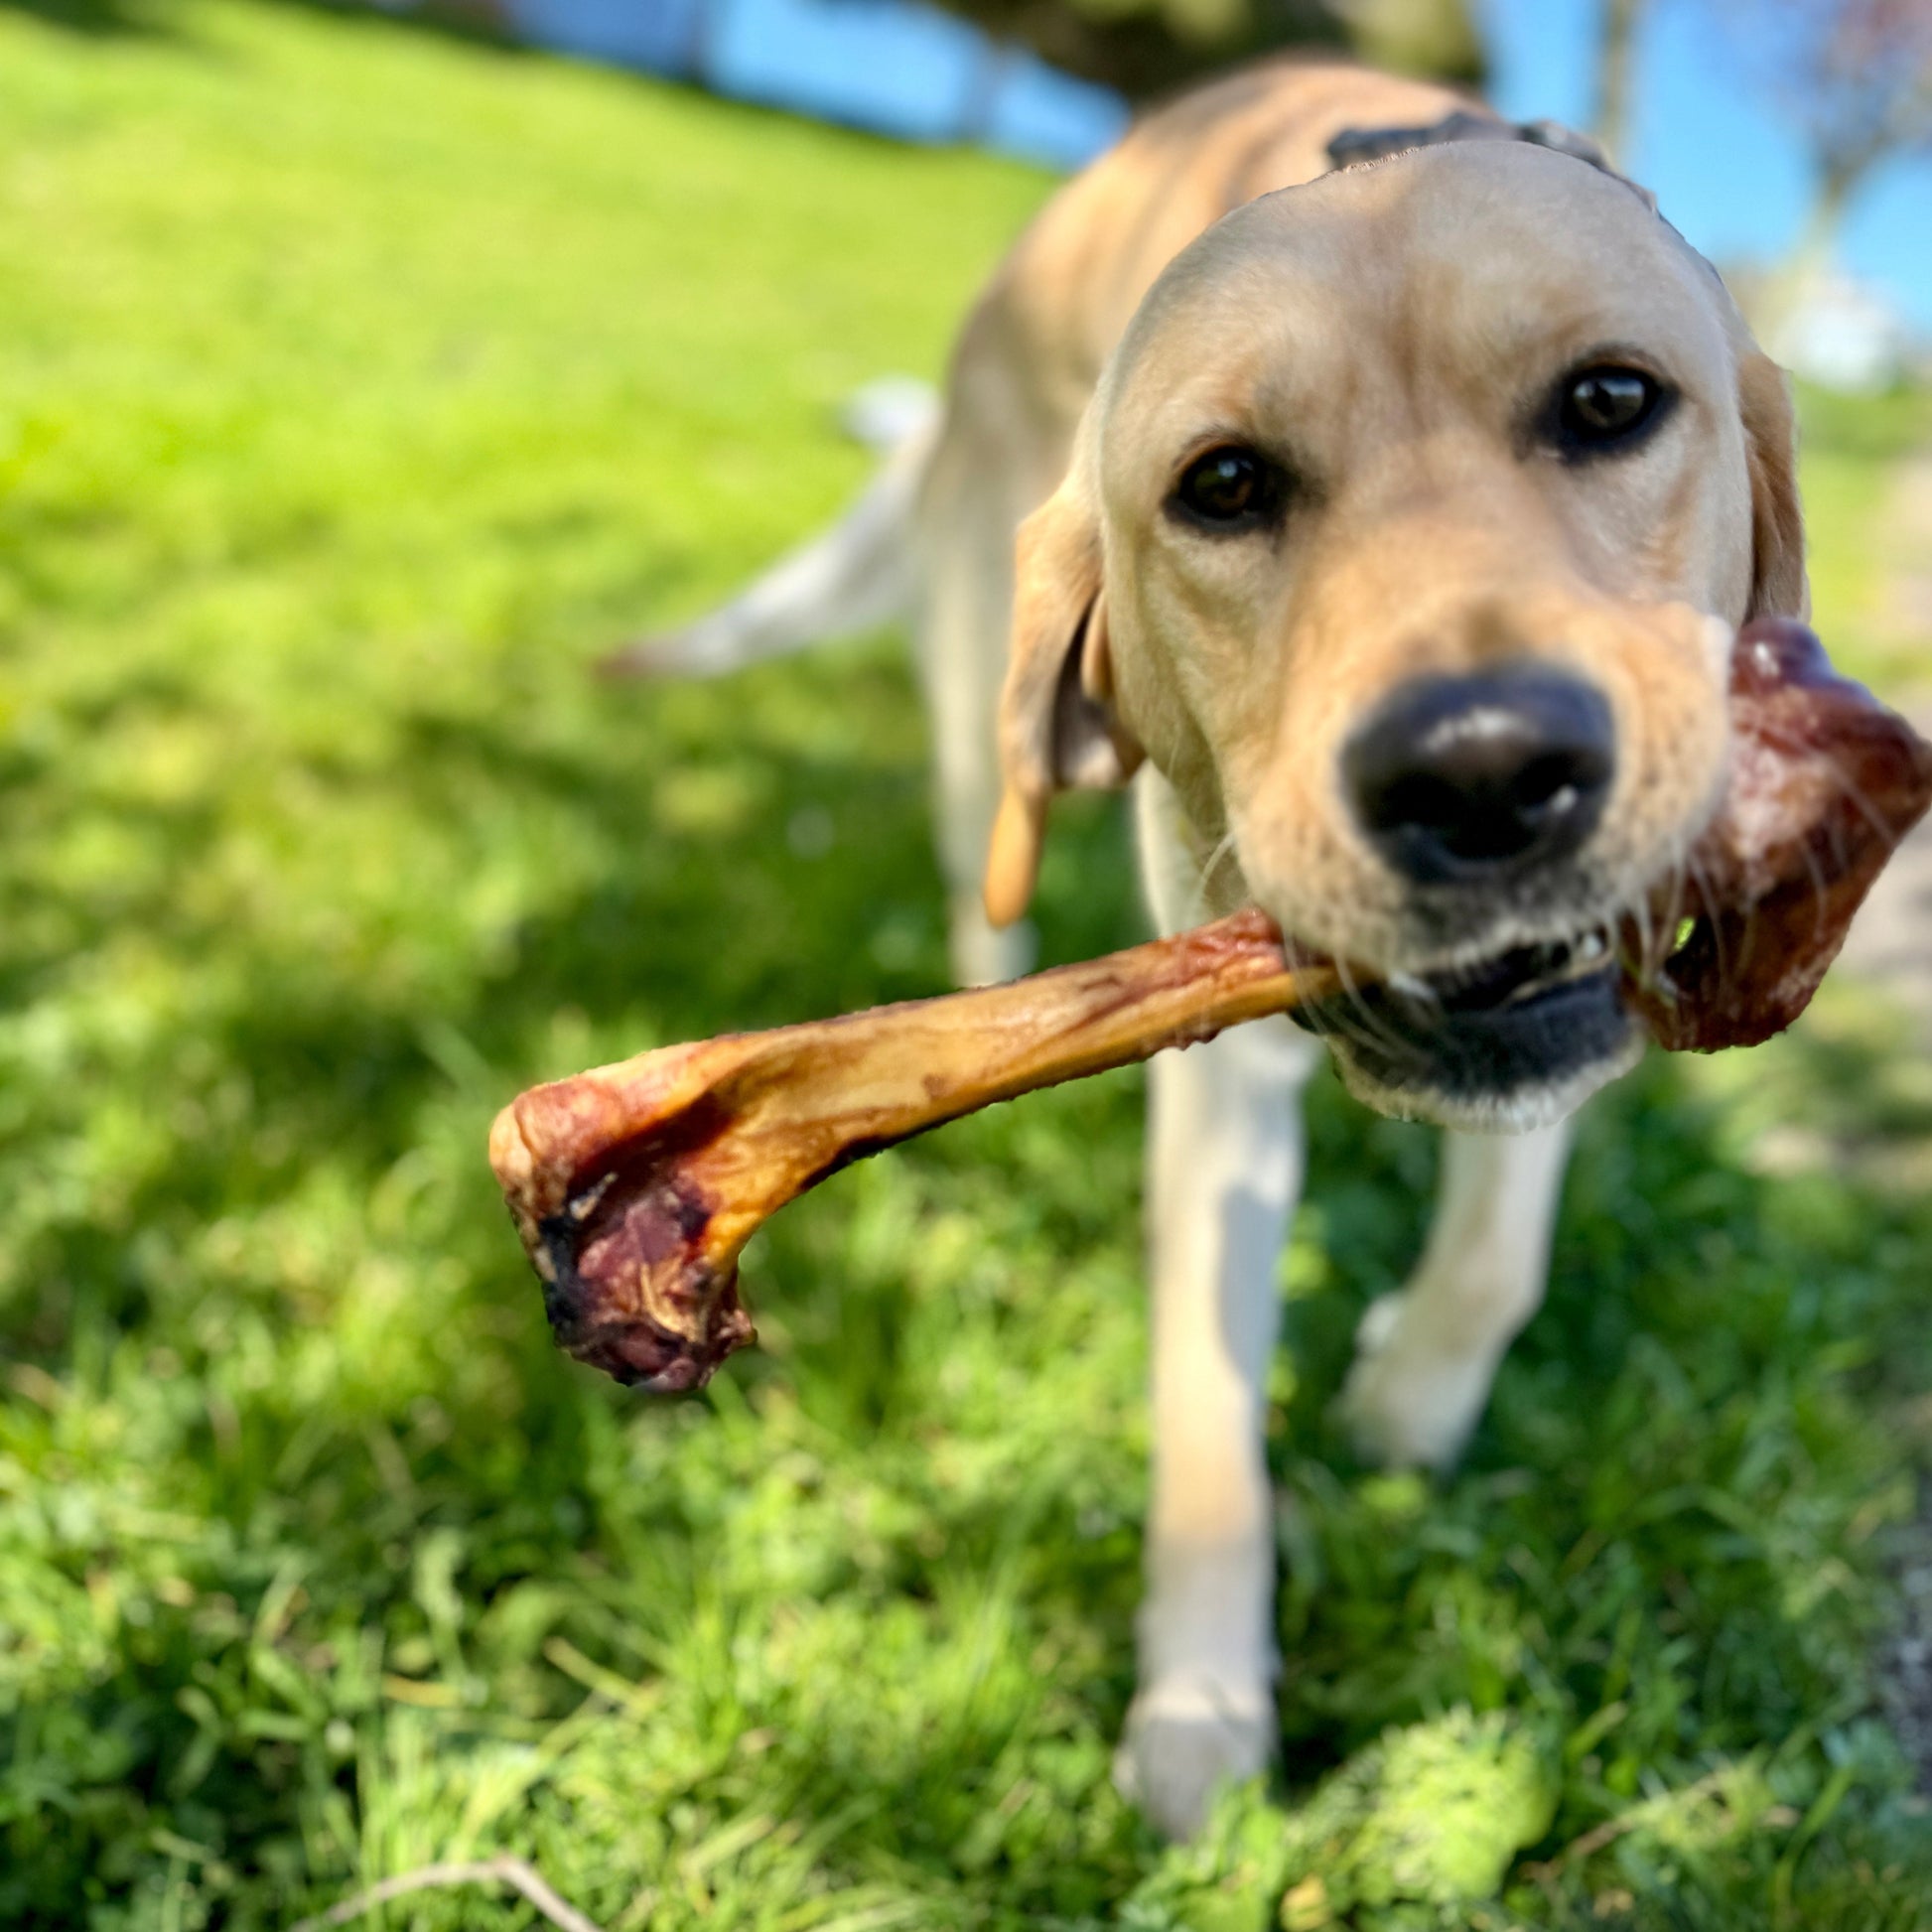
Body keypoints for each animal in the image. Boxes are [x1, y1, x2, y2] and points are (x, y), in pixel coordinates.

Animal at [610, 56, 1800, 1839]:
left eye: (1609, 401)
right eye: (1223, 486)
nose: (1481, 769)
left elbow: (1496, 1251)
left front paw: (1398, 1400)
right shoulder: (1220, 1086)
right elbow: (1199, 1415)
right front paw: (1197, 1697)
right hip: (978, 742)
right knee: (982, 900)